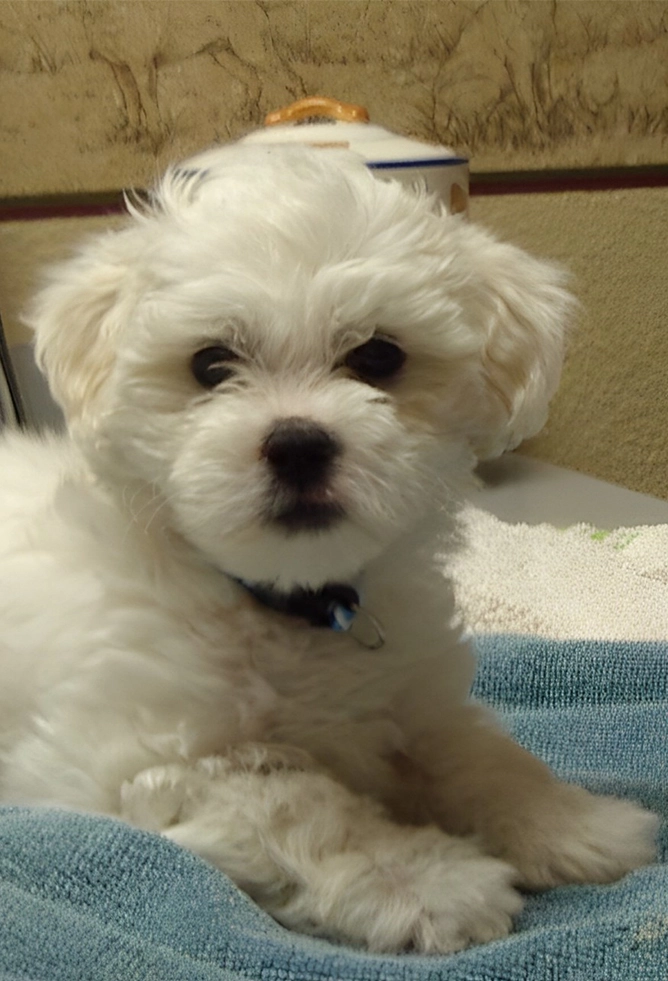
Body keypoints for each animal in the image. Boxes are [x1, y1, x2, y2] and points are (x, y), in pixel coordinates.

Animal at [0, 144, 656, 948]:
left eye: (377, 357)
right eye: (211, 364)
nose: (297, 444)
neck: (288, 604)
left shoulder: (411, 695)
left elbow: (477, 751)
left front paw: (569, 822)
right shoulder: (136, 763)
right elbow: (305, 805)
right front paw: (426, 884)